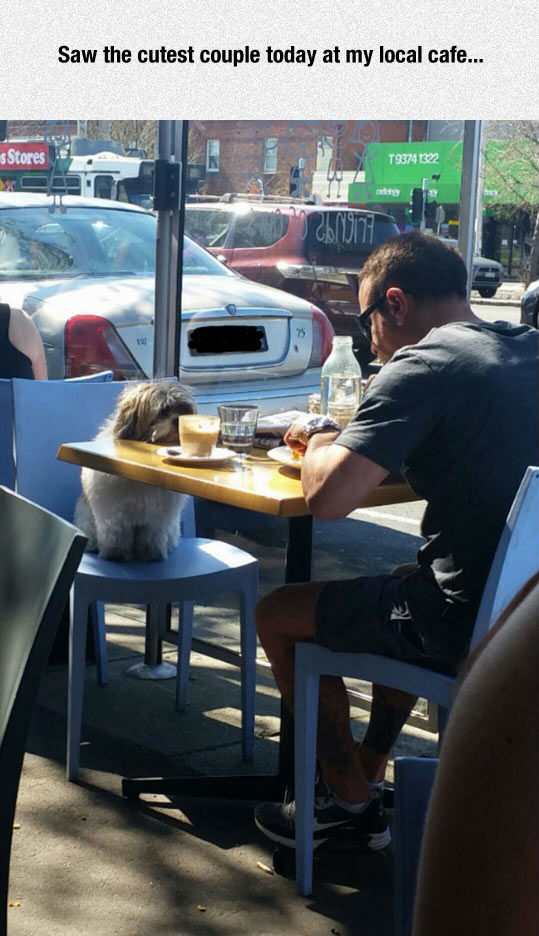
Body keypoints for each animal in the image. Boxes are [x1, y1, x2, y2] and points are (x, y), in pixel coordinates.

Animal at [74, 381, 196, 561]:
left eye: (184, 409)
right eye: (163, 411)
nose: (177, 419)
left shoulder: (157, 518)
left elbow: (152, 535)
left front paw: (150, 553)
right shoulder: (114, 514)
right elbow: (116, 533)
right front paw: (116, 553)